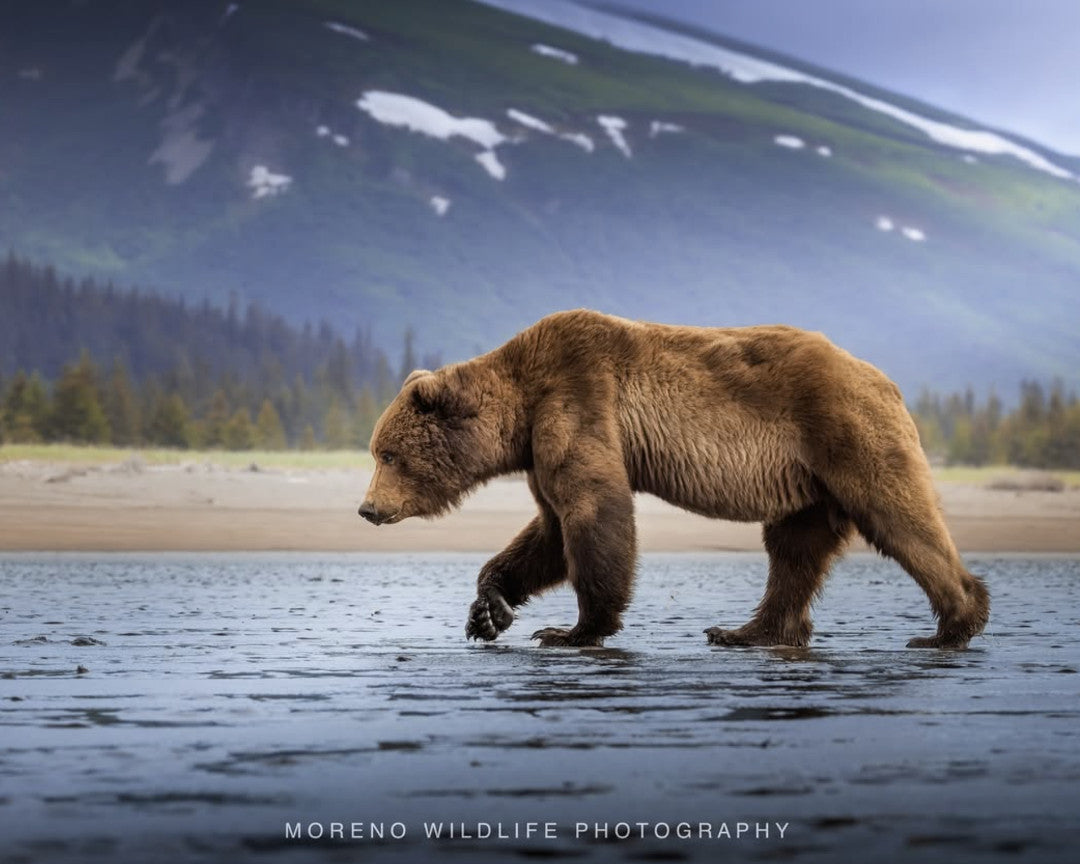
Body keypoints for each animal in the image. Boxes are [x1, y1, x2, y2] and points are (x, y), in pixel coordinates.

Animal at [358, 309, 989, 650]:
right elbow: (549, 531)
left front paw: (573, 629)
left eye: (387, 454)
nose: (366, 509)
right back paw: (746, 631)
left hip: (845, 434)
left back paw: (952, 624)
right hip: (808, 482)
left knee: (898, 517)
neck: (520, 404)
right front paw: (489, 611)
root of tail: (885, 379)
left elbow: (592, 512)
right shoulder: (540, 445)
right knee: (794, 551)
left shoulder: (577, 398)